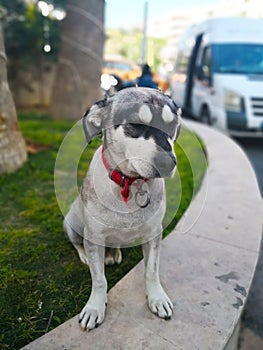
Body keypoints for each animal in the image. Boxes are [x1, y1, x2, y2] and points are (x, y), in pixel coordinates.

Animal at [62, 87, 182, 330]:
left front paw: (157, 298)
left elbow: (151, 271)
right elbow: (99, 279)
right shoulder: (94, 235)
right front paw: (94, 307)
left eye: (173, 124)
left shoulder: (154, 233)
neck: (129, 183)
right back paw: (86, 256)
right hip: (71, 222)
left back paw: (114, 252)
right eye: (135, 124)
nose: (168, 163)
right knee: (77, 243)